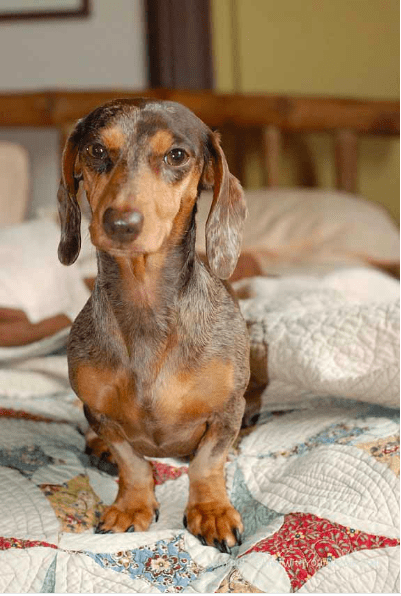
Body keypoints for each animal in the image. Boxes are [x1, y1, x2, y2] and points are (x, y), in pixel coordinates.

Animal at [57, 96, 248, 548]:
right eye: (96, 151)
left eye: (176, 155)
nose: (120, 224)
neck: (145, 307)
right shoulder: (99, 412)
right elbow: (133, 462)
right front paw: (132, 505)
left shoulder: (229, 409)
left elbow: (207, 463)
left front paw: (211, 511)